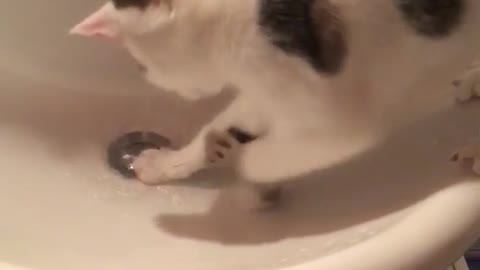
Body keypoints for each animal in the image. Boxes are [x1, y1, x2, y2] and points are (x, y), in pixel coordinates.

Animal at [70, 0, 480, 206]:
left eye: (140, 63)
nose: (143, 75)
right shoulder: (267, 86)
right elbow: (226, 122)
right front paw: (167, 162)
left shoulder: (339, 118)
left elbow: (263, 155)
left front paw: (254, 174)